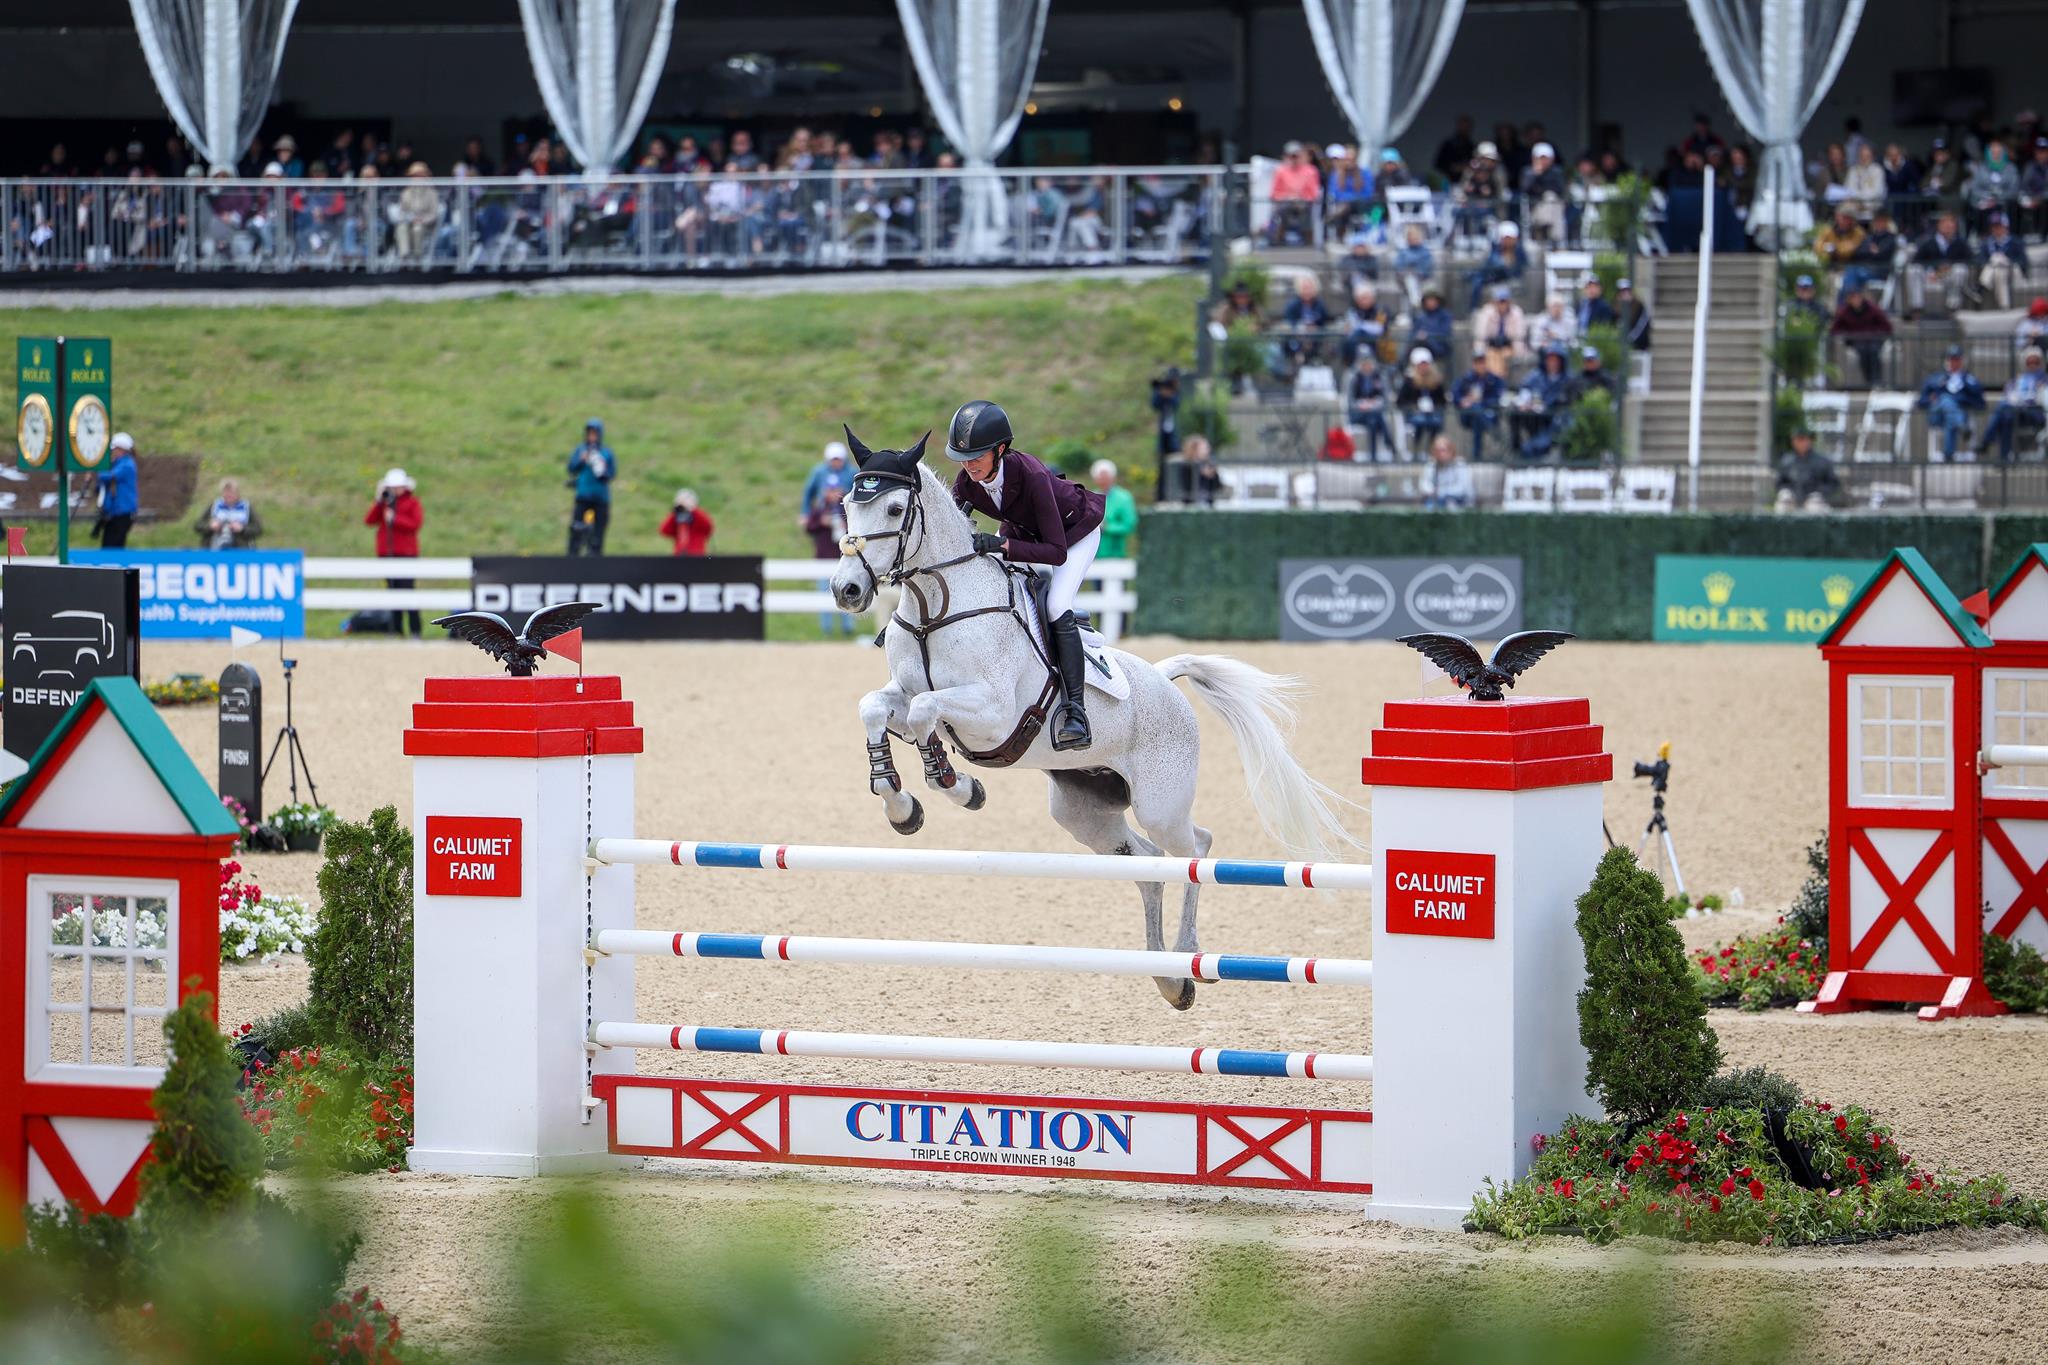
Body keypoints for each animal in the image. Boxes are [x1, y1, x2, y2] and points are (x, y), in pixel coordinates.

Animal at [823, 431, 1351, 1010]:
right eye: (847, 505)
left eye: (895, 509)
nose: (847, 591)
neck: (935, 607)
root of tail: (1165, 678)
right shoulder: (907, 694)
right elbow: (876, 708)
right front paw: (902, 805)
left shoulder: (992, 713)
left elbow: (926, 714)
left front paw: (954, 783)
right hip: (1084, 811)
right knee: (1146, 863)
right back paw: (1168, 977)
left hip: (1159, 803)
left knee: (1194, 849)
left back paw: (1189, 955)